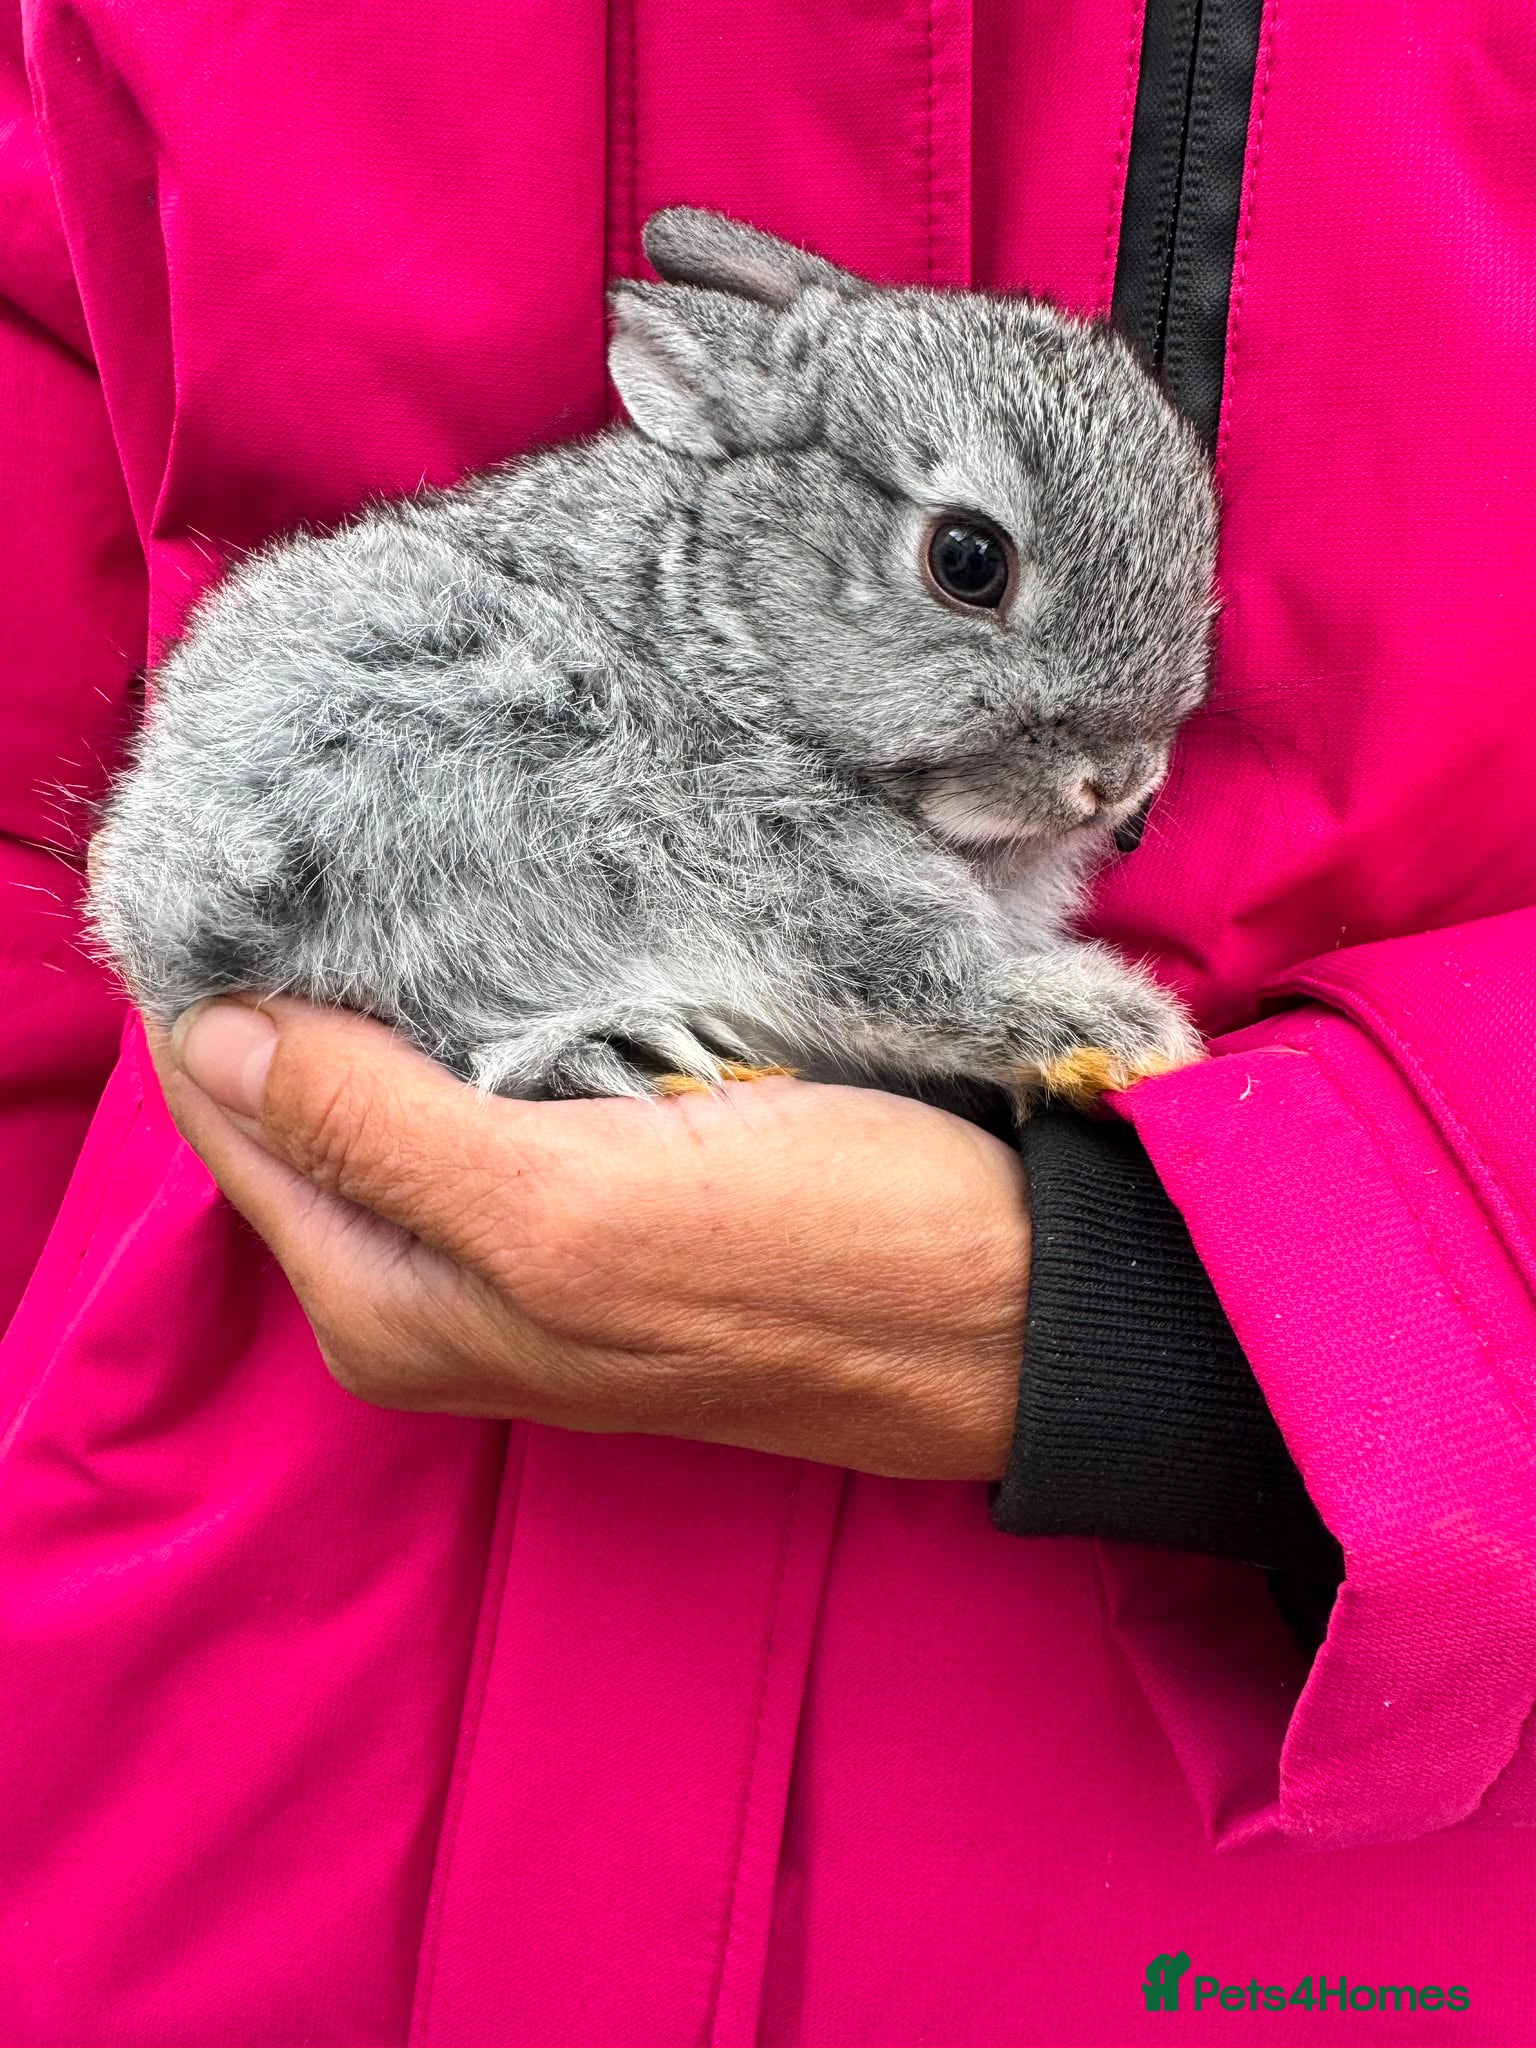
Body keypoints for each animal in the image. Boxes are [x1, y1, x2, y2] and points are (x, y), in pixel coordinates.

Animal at [88, 207, 1218, 1114]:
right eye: (968, 560)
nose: (1121, 779)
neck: (726, 636)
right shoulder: (779, 869)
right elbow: (911, 980)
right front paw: (1119, 1029)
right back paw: (612, 1049)